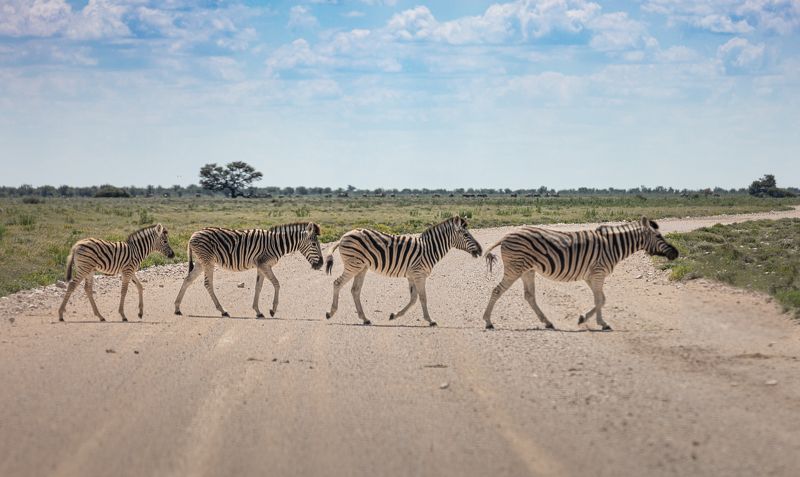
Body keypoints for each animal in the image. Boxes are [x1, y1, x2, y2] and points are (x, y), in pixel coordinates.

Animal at [173, 222, 324, 318]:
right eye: (314, 244)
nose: (321, 264)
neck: (277, 244)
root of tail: (192, 235)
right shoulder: (264, 264)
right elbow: (276, 283)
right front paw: (273, 310)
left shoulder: (261, 266)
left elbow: (258, 287)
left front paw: (258, 311)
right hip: (207, 261)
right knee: (207, 283)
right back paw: (223, 311)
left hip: (200, 262)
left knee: (187, 279)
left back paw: (177, 308)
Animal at [324, 216, 482, 326]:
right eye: (466, 235)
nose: (480, 250)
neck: (429, 249)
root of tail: (343, 236)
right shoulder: (419, 275)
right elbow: (423, 297)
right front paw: (430, 320)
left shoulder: (412, 276)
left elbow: (413, 299)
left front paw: (395, 315)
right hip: (353, 265)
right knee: (337, 283)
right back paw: (330, 313)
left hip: (361, 267)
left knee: (355, 290)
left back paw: (365, 319)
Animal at [481, 217, 678, 330]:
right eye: (659, 236)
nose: (676, 253)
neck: (613, 246)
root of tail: (506, 236)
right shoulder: (598, 273)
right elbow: (600, 300)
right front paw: (597, 322)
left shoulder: (592, 276)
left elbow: (601, 299)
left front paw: (589, 319)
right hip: (515, 268)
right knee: (497, 290)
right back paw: (488, 321)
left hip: (527, 270)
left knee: (529, 296)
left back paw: (547, 322)